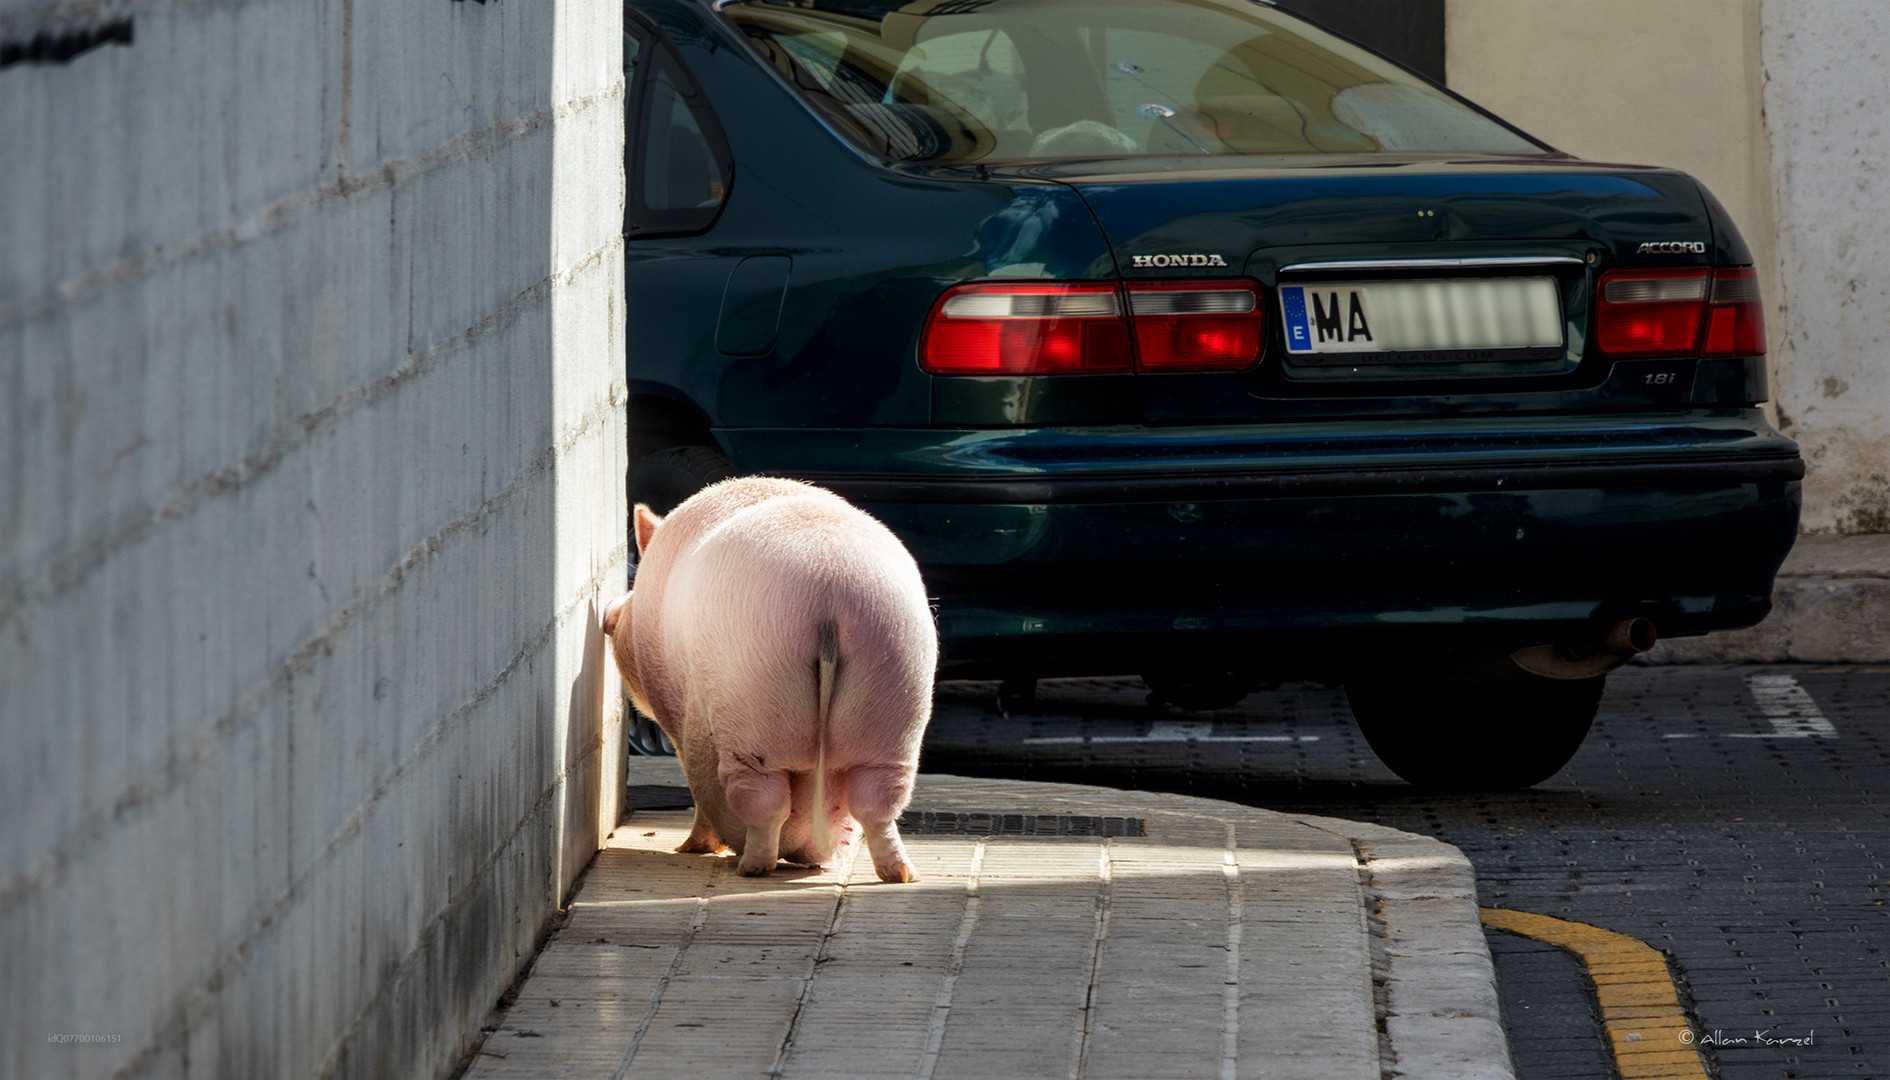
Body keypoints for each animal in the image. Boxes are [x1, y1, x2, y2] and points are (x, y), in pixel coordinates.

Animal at [601, 476, 933, 881]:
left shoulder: (681, 726)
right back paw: (898, 874)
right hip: (896, 677)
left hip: (751, 702)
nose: (608, 613)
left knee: (764, 801)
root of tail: (828, 588)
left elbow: (699, 791)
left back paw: (751, 867)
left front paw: (693, 849)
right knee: (878, 800)